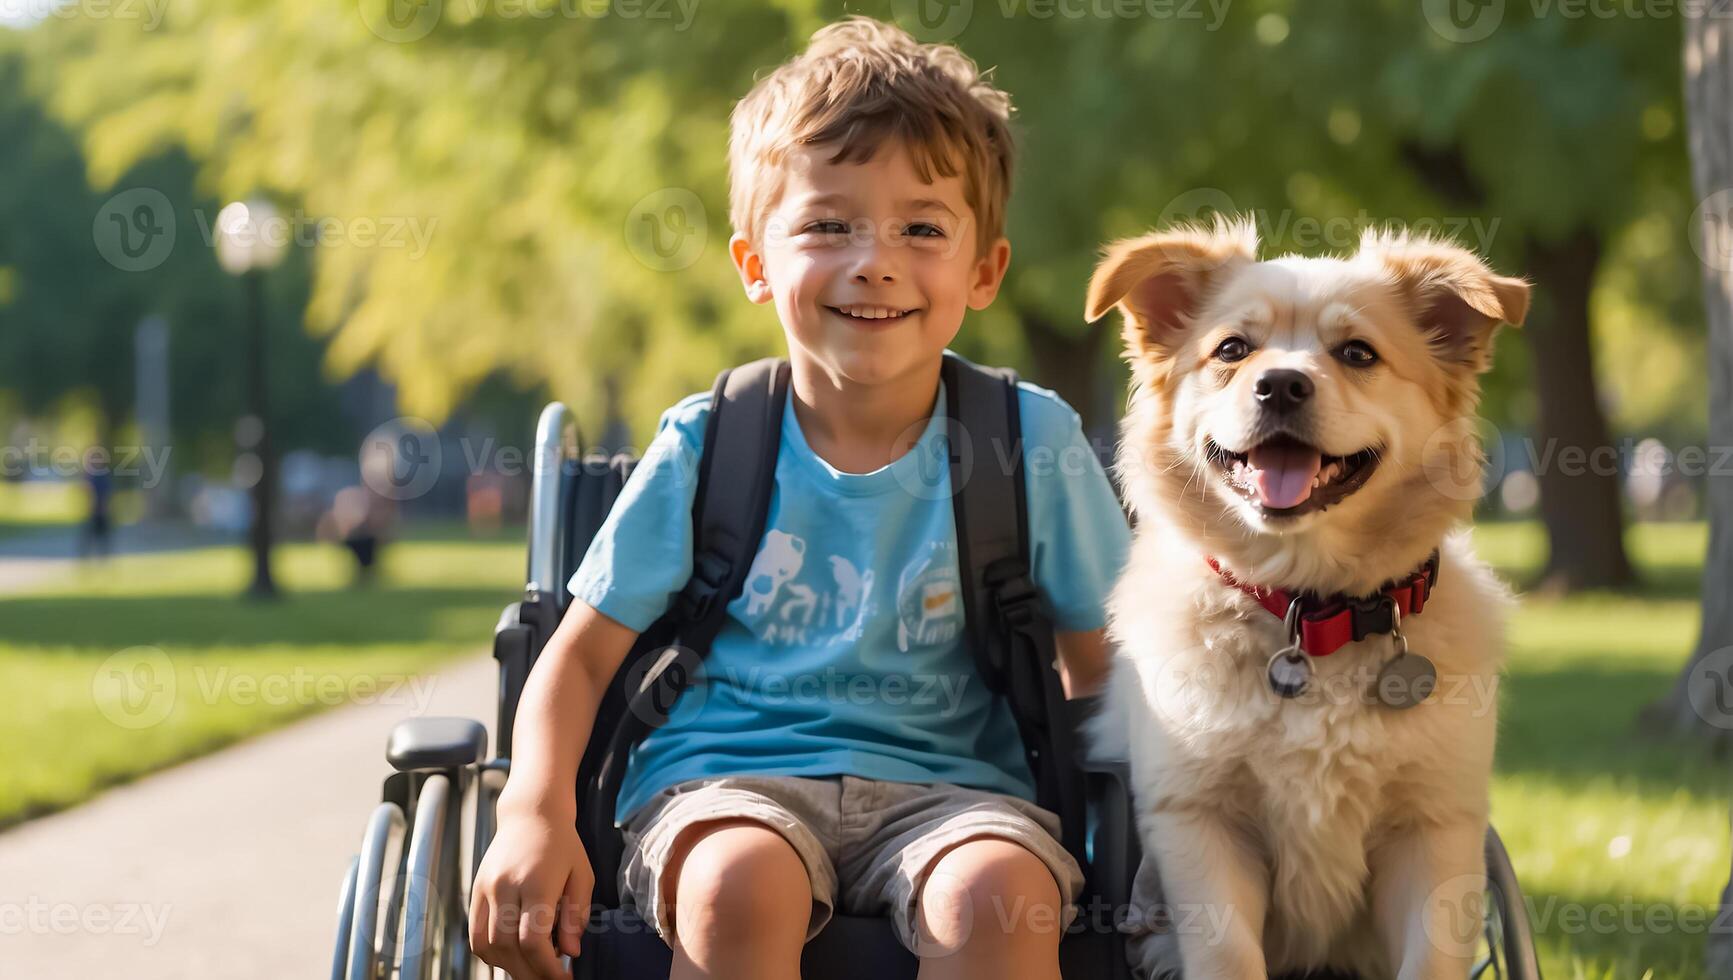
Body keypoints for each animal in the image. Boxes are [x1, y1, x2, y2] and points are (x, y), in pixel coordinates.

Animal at [1081, 217, 1531, 971]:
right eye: (1232, 349)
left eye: (1357, 353)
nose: (1281, 386)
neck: (1311, 611)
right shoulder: (1199, 822)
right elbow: (1228, 958)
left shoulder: (1436, 827)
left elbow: (1431, 960)